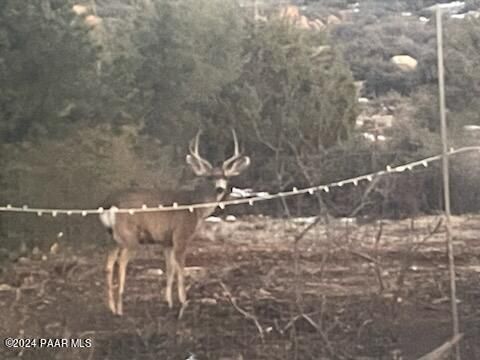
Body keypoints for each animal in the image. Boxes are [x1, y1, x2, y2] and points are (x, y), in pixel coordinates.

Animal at [98, 130, 251, 316]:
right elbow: (181, 269)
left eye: (225, 176)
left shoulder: (166, 241)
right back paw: (120, 309)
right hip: (129, 236)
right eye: (209, 177)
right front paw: (184, 302)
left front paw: (168, 302)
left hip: (111, 237)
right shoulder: (181, 235)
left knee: (108, 264)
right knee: (121, 262)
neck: (196, 208)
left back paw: (111, 307)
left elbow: (170, 269)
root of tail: (109, 203)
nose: (220, 188)